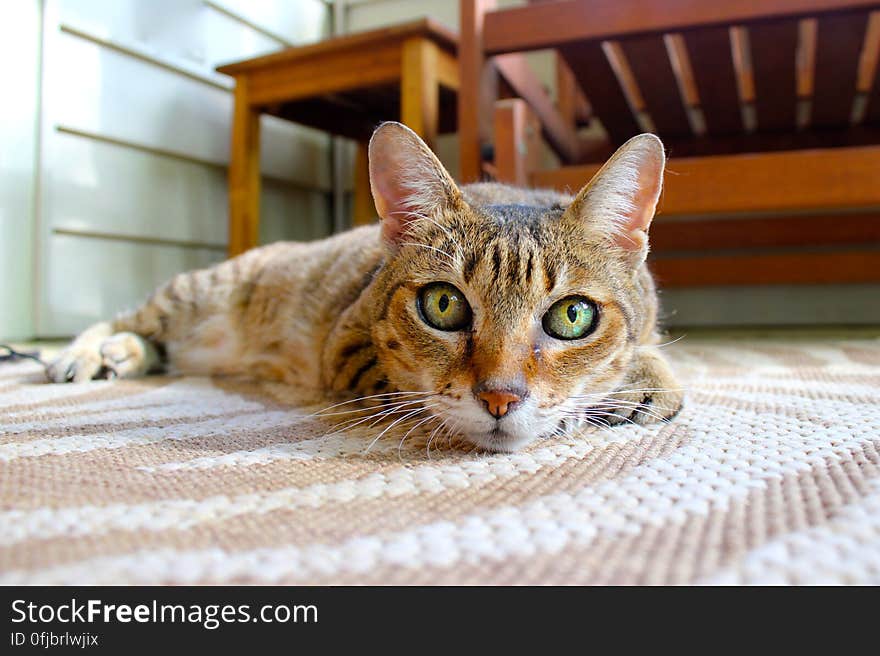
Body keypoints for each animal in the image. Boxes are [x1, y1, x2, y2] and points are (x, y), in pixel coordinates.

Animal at [44, 121, 684, 452]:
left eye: (571, 316)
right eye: (443, 304)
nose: (500, 398)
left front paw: (643, 381)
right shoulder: (347, 346)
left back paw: (123, 357)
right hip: (197, 292)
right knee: (126, 319)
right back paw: (84, 354)